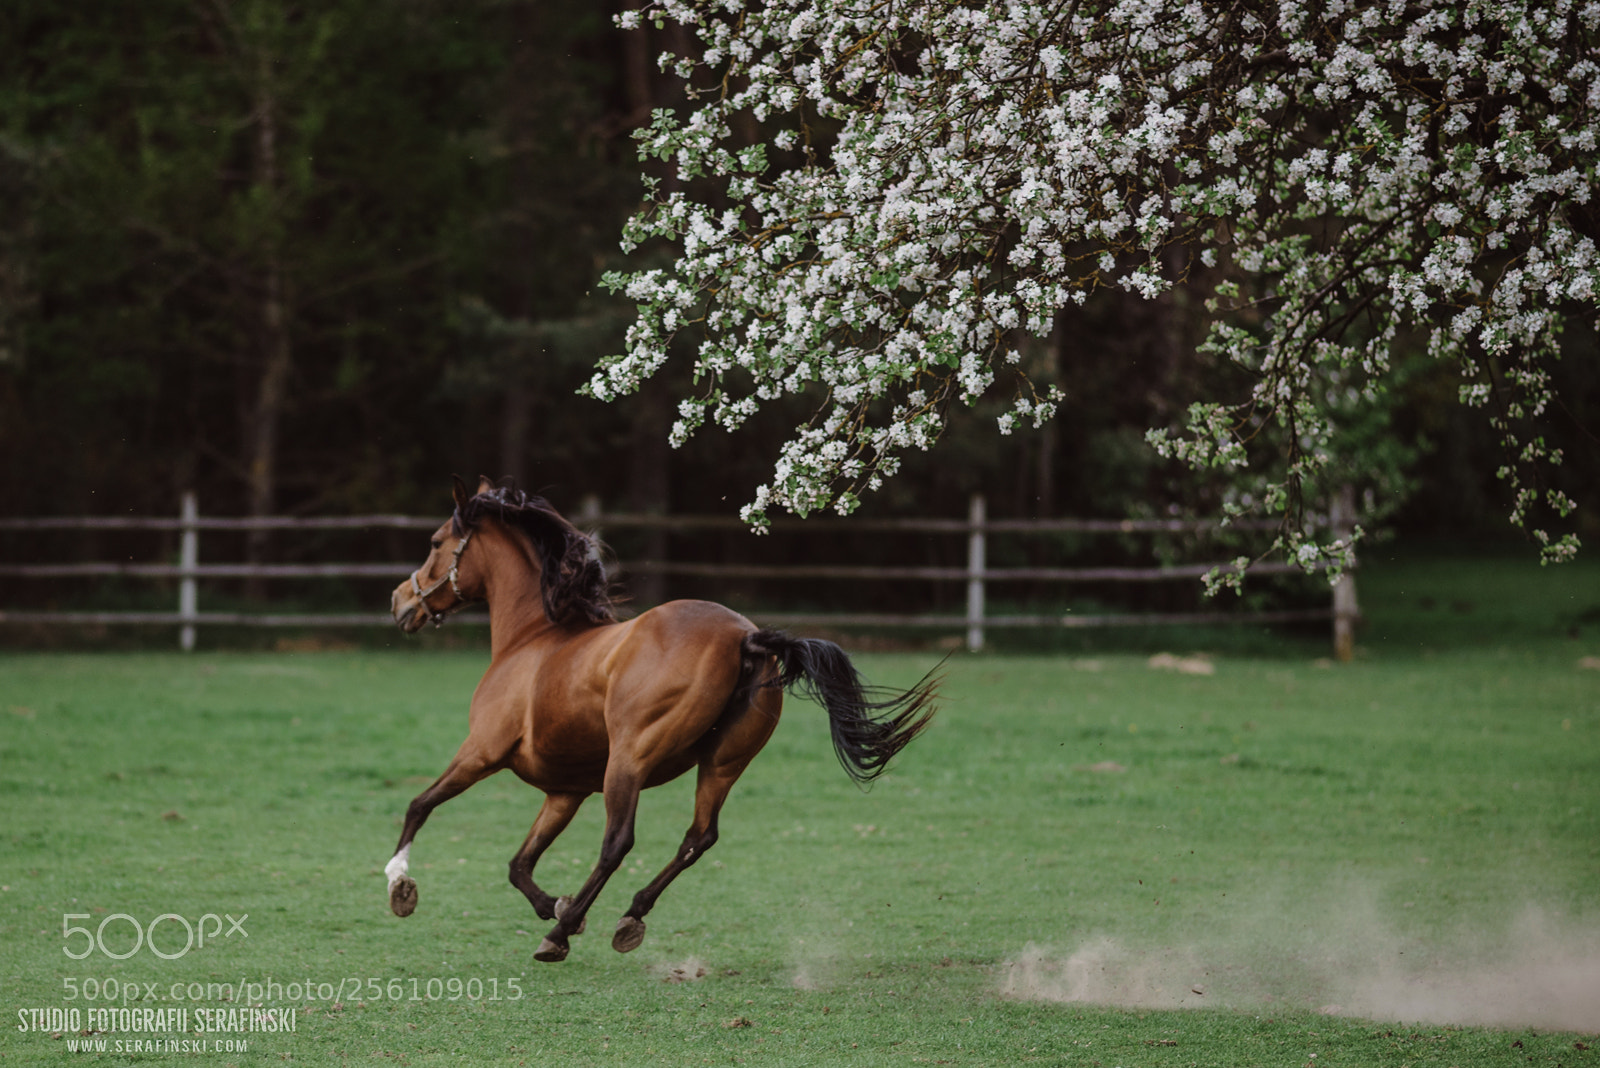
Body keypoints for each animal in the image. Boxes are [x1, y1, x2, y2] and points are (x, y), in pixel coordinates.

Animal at [384, 476, 938, 963]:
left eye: (436, 542)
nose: (400, 601)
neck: (533, 640)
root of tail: (745, 637)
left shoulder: (482, 752)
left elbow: (419, 806)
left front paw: (400, 884)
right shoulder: (564, 791)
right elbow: (518, 865)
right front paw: (556, 905)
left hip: (629, 760)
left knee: (618, 842)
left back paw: (560, 937)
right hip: (723, 763)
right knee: (698, 837)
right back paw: (628, 917)